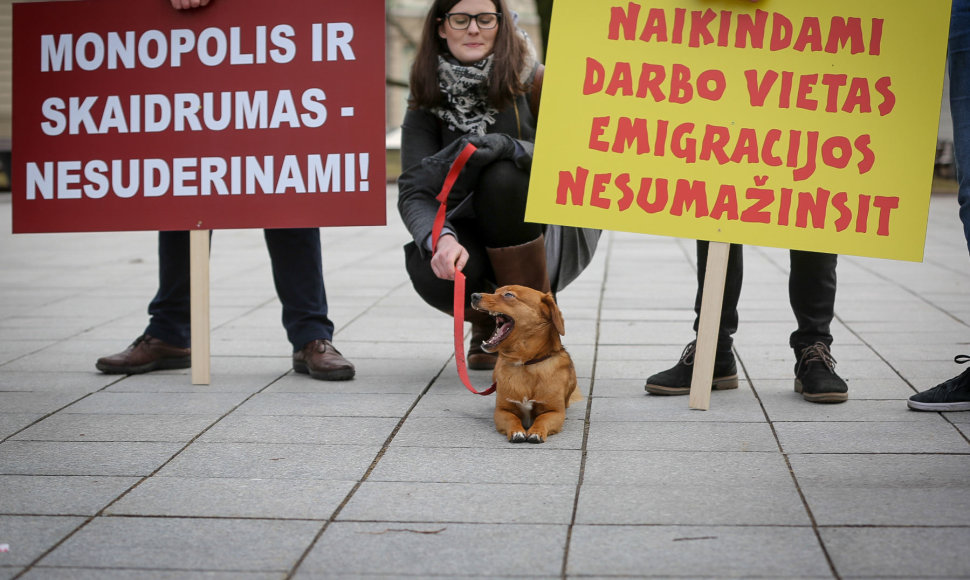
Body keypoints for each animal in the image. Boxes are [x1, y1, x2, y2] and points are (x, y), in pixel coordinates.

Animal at [470, 286, 580, 444]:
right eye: (495, 291)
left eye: (509, 295)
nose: (474, 295)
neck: (525, 363)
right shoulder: (502, 411)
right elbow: (512, 419)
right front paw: (517, 431)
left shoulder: (555, 412)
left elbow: (542, 419)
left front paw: (536, 432)